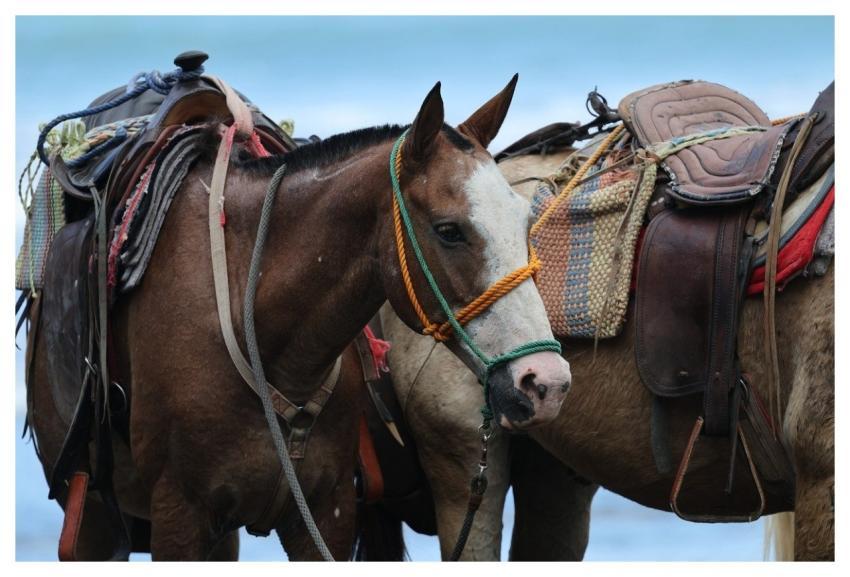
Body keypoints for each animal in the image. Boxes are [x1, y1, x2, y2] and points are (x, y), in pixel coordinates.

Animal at [24, 77, 572, 560]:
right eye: (449, 230)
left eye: (524, 221)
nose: (546, 383)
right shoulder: (180, 515)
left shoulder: (325, 515)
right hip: (93, 516)